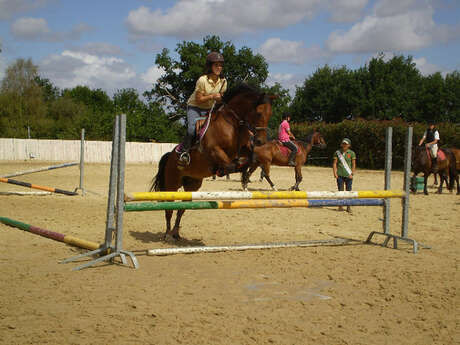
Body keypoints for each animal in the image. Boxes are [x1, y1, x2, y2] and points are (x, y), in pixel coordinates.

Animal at [151, 84, 274, 238]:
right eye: (258, 113)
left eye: (269, 114)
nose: (260, 141)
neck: (233, 124)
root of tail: (169, 155)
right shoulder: (214, 150)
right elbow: (230, 164)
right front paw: (224, 171)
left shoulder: (244, 149)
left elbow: (248, 160)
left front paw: (243, 176)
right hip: (172, 183)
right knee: (169, 208)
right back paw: (168, 234)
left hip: (192, 185)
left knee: (182, 208)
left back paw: (175, 233)